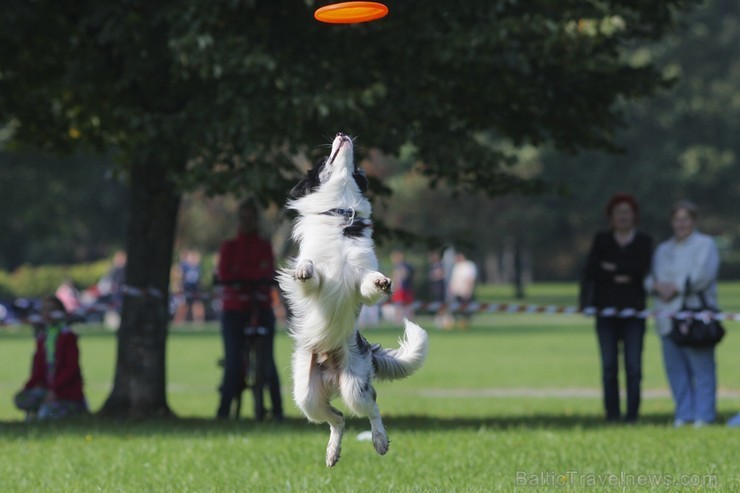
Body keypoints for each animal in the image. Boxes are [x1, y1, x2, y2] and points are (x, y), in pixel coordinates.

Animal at [278, 132, 428, 466]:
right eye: (325, 160)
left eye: (357, 166)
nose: (341, 134)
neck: (341, 215)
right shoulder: (317, 283)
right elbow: (310, 273)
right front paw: (303, 269)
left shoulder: (360, 279)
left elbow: (368, 283)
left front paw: (382, 281)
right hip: (306, 394)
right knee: (337, 418)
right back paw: (333, 452)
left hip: (355, 385)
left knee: (370, 408)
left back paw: (379, 441)